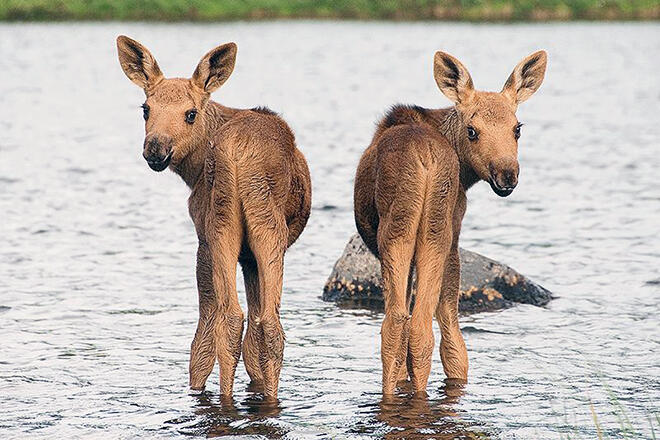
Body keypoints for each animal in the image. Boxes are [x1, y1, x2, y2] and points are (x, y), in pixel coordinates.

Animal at [116, 36, 312, 400]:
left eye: (190, 113)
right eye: (146, 109)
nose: (155, 149)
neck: (191, 172)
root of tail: (237, 151)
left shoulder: (205, 237)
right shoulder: (236, 253)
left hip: (227, 227)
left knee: (239, 319)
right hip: (255, 228)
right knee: (258, 321)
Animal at [354, 50, 547, 395]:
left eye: (517, 128)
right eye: (472, 130)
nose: (506, 174)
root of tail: (426, 157)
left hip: (401, 231)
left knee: (400, 322)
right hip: (434, 232)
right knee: (419, 326)